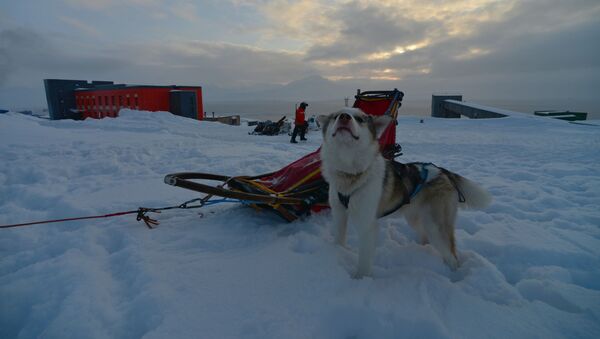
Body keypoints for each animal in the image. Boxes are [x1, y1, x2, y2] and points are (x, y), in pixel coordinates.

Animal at [316, 109, 490, 278]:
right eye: (335, 116)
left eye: (359, 119)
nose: (344, 117)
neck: (350, 173)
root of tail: (443, 172)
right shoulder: (339, 214)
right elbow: (339, 239)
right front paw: (337, 252)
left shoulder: (366, 225)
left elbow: (364, 260)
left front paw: (360, 279)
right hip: (416, 218)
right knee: (425, 237)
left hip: (436, 227)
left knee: (452, 256)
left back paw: (454, 276)